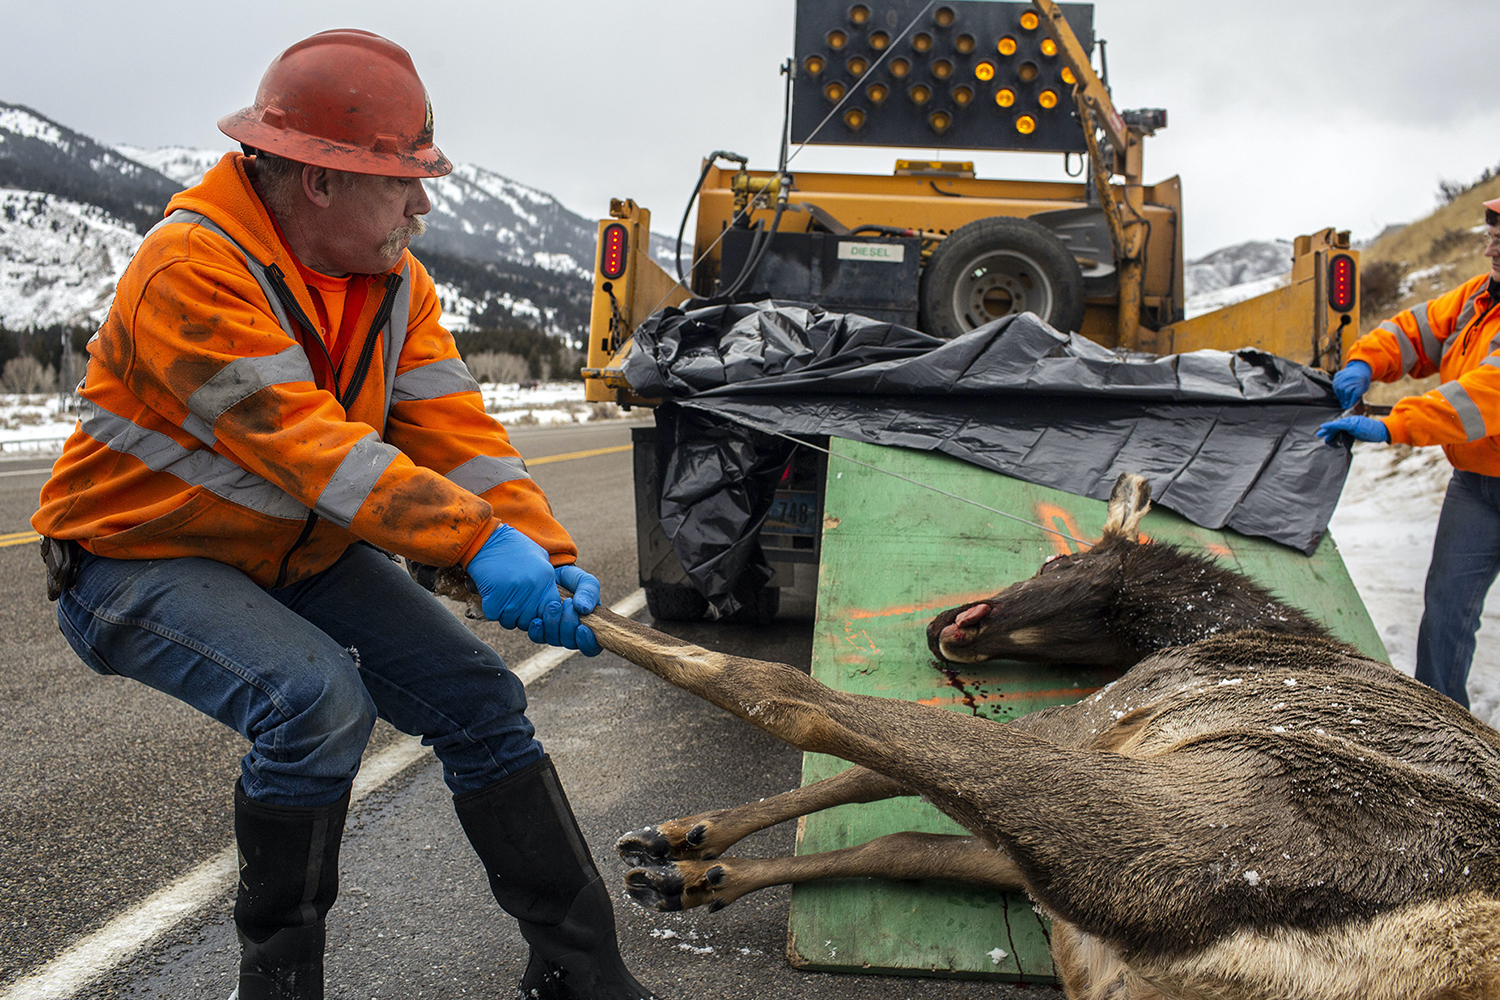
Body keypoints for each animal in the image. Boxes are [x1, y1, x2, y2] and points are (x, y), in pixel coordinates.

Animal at [415, 474, 1500, 1000]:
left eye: (1059, 558)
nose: (944, 622)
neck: (1203, 628)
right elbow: (899, 837)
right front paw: (696, 859)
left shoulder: (1104, 727)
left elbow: (860, 772)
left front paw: (699, 841)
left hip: (1179, 841)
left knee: (784, 689)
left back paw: (489, 580)